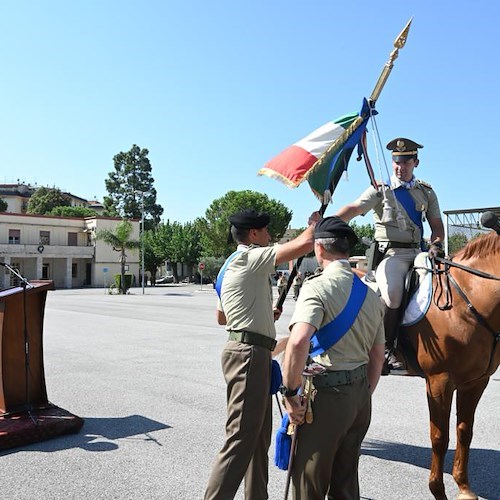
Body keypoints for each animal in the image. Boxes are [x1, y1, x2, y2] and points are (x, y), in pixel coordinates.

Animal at [404, 230, 500, 500]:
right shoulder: (439, 381)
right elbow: (439, 436)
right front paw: (437, 489)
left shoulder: (476, 382)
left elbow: (463, 431)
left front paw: (464, 487)